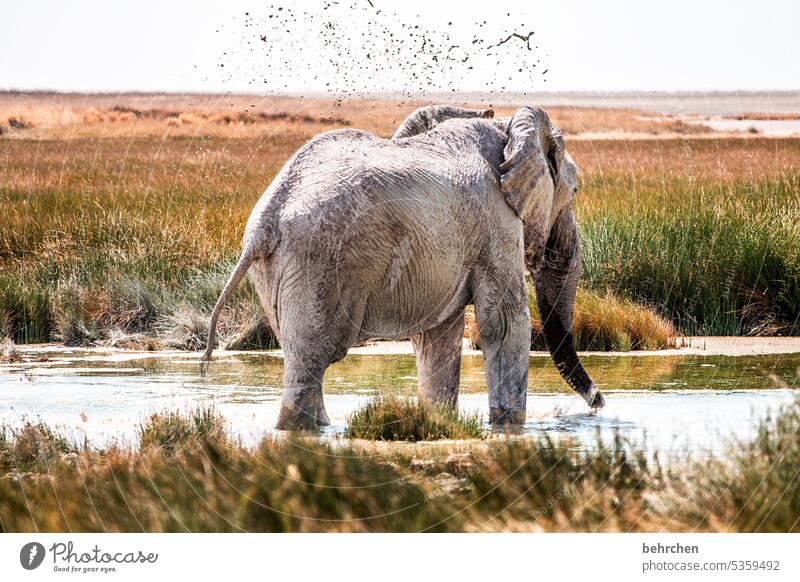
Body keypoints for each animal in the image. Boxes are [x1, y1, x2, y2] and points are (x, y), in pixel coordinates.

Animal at [203, 102, 604, 432]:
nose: (599, 402)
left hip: (278, 272)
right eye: (574, 192)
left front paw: (440, 423)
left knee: (298, 359)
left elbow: (438, 336)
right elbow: (504, 325)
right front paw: (508, 430)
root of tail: (264, 223)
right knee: (310, 363)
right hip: (315, 264)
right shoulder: (497, 222)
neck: (507, 130)